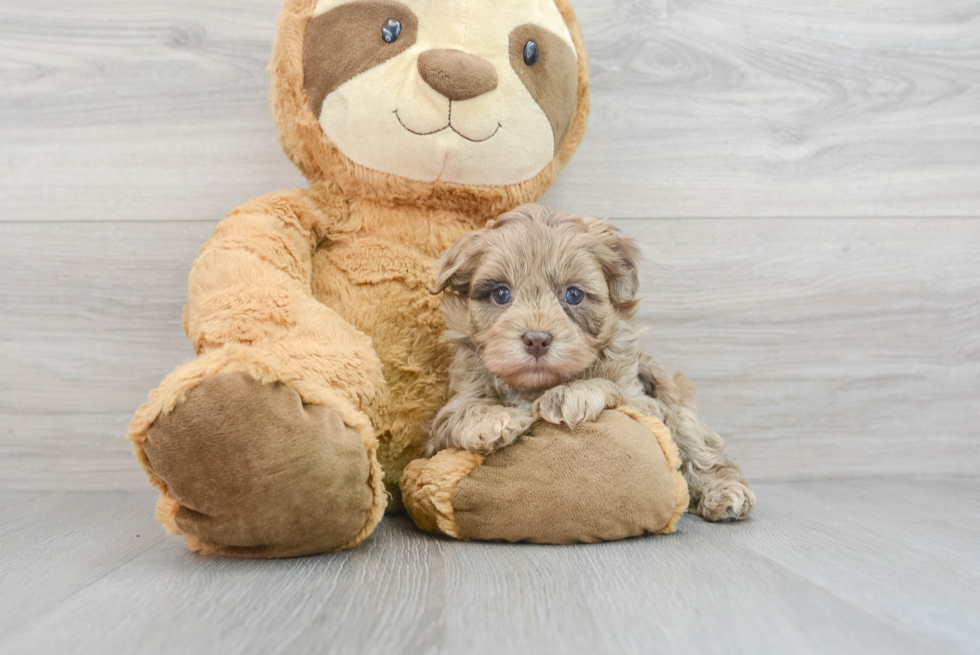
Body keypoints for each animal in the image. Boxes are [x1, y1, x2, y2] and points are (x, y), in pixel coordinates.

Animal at [424, 205, 756, 524]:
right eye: (501, 293)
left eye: (574, 295)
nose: (536, 339)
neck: (536, 387)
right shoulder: (449, 414)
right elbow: (460, 413)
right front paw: (493, 420)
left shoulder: (642, 400)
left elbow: (608, 388)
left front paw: (570, 395)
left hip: (678, 403)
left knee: (703, 454)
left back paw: (725, 494)